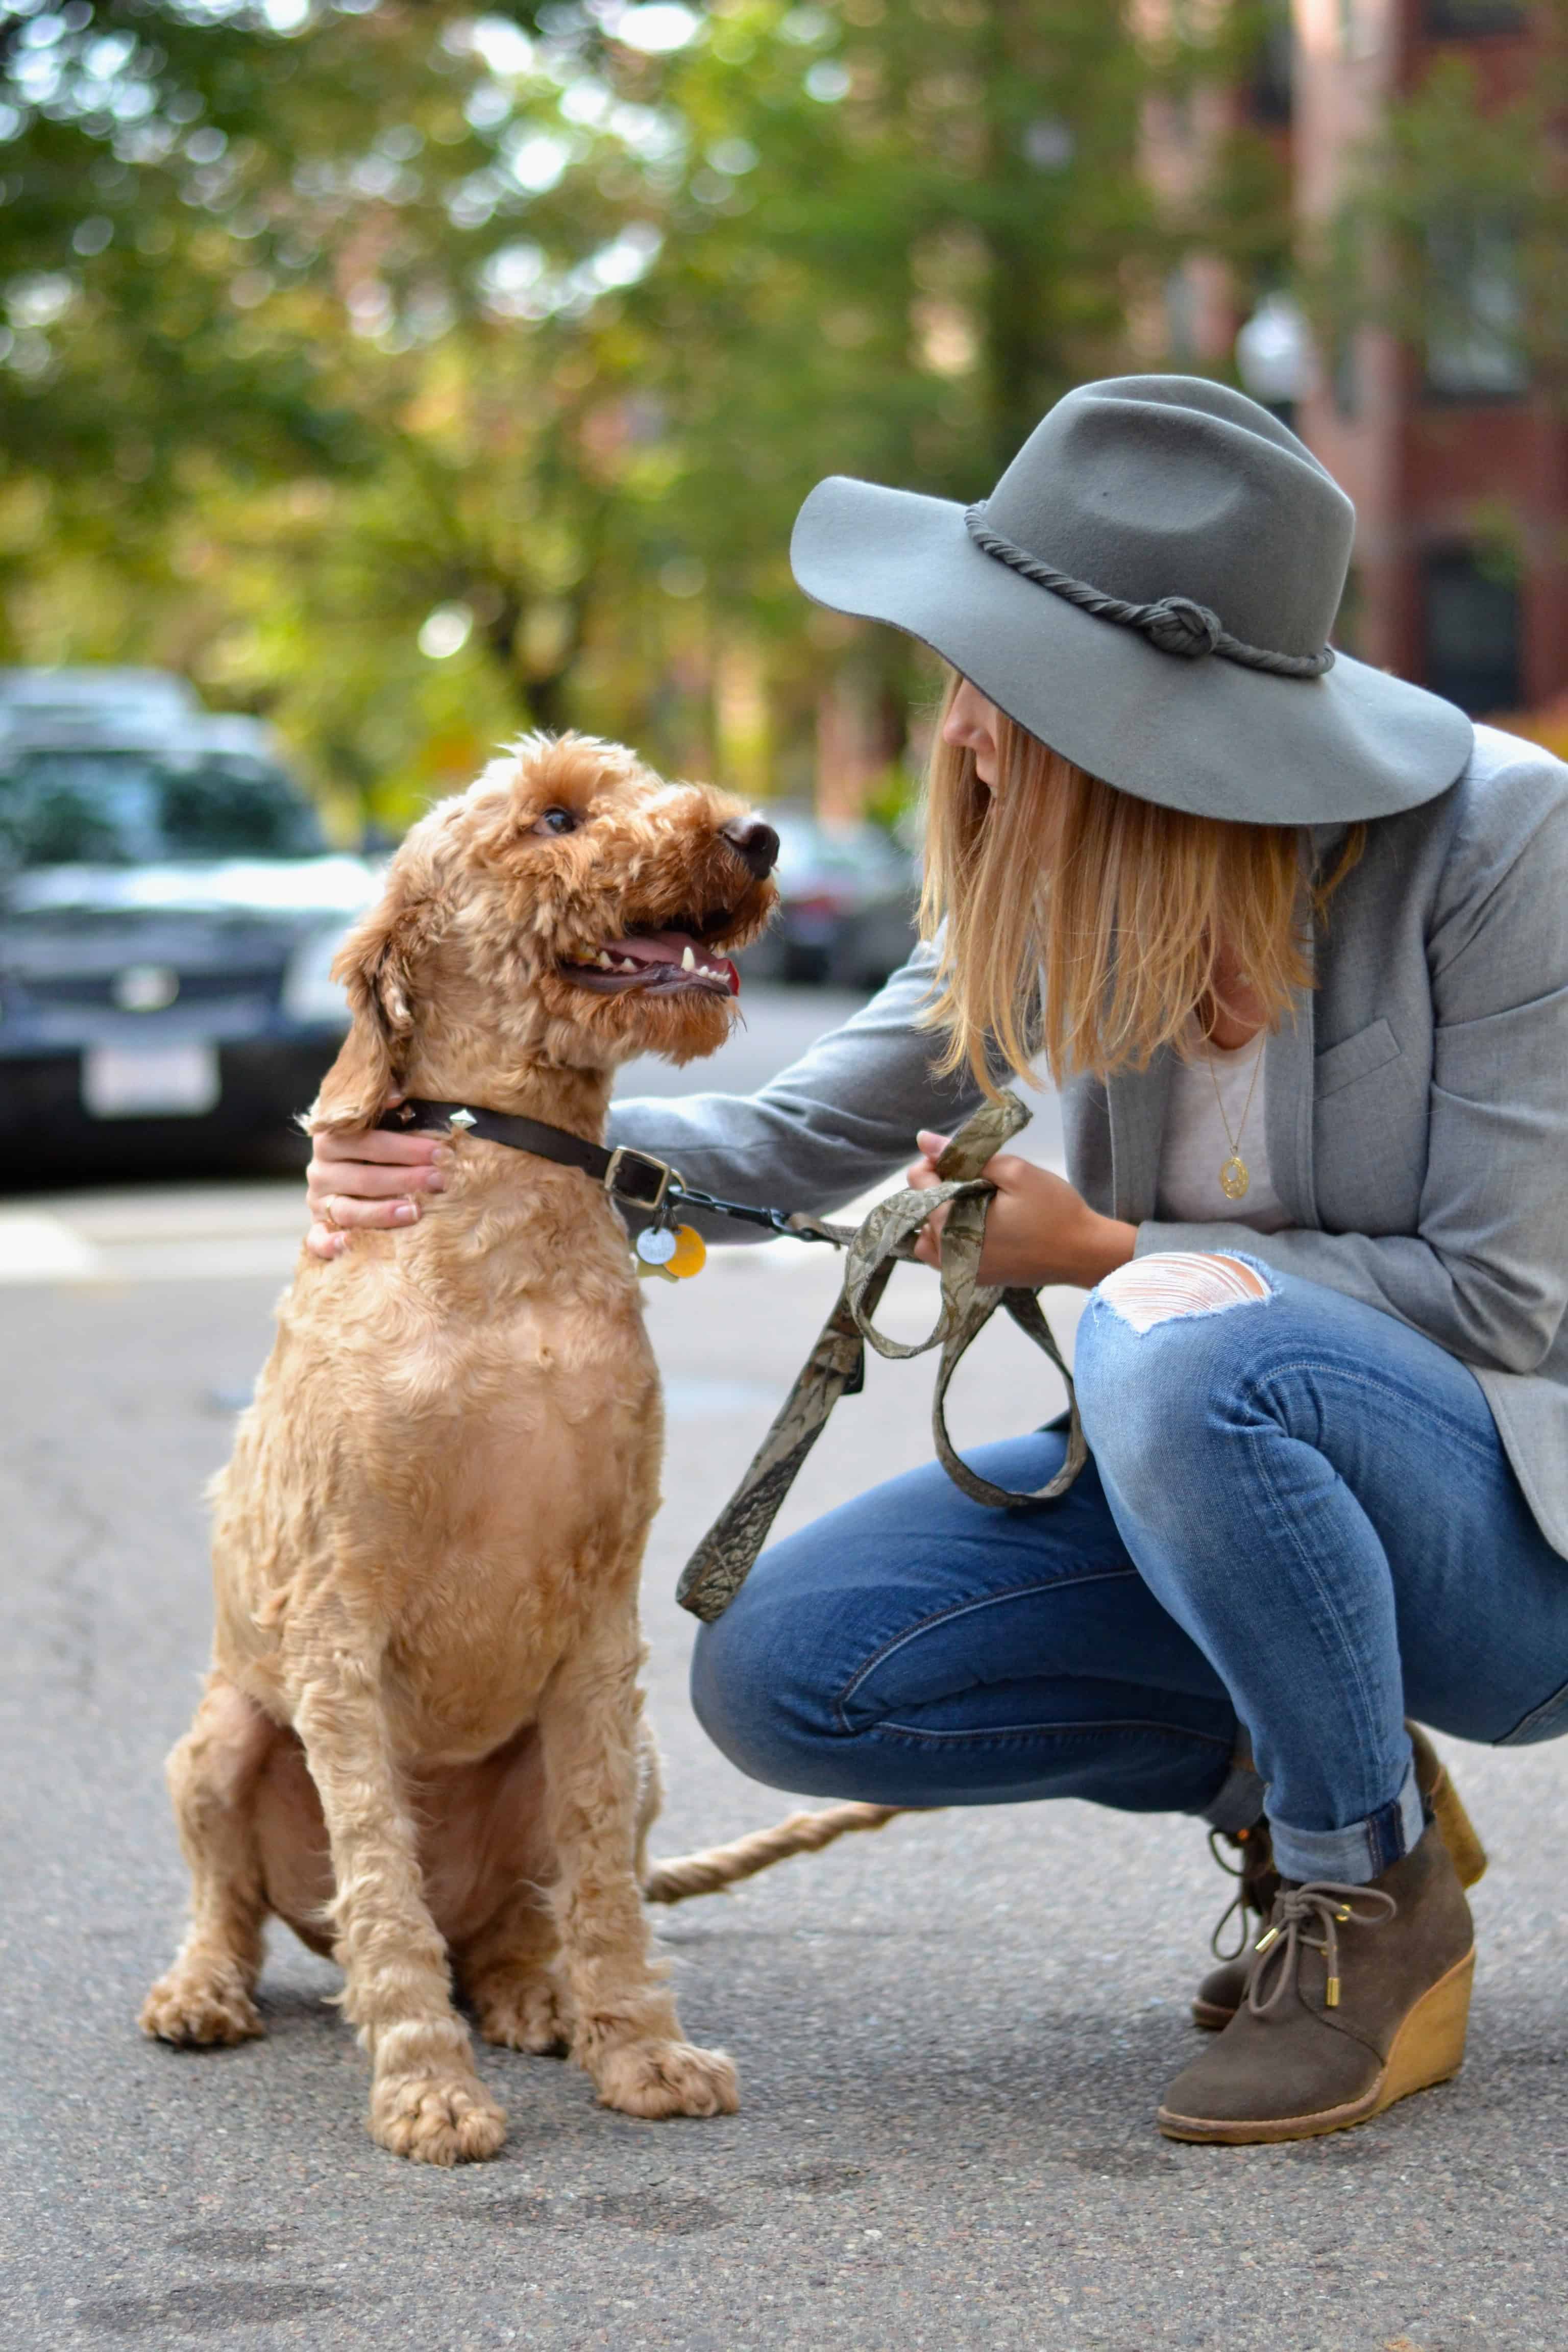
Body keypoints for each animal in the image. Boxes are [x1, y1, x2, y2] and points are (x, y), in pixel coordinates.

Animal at [144, 733, 780, 2164]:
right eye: (554, 817)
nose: (758, 836)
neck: (516, 1198)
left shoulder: (602, 1633)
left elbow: (602, 1884)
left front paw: (638, 2052)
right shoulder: (338, 1626)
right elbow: (384, 1886)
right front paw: (429, 2092)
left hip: (632, 1760)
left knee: (515, 1920)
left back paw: (533, 1995)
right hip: (220, 1740)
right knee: (242, 1906)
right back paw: (203, 1992)